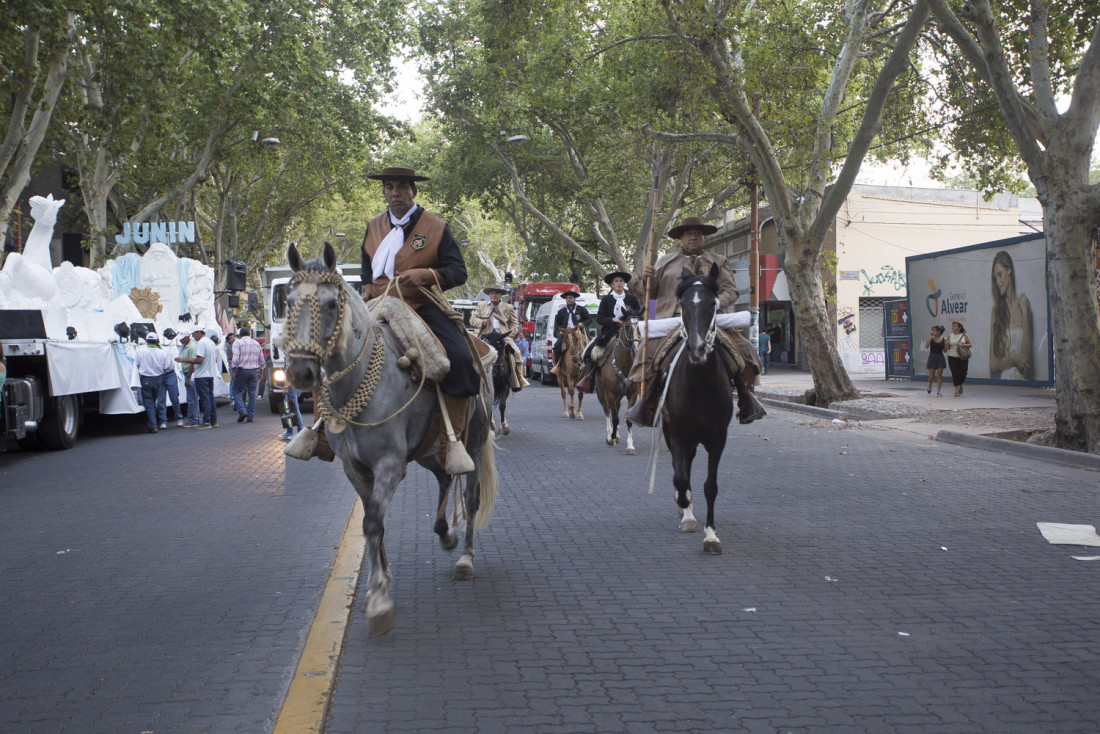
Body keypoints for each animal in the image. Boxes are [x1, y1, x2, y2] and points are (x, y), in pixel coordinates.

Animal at [281, 244, 497, 633]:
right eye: (288, 302)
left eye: (331, 304)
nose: (301, 372)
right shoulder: (355, 469)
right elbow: (373, 521)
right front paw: (378, 584)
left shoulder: (390, 465)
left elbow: (372, 522)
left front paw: (380, 597)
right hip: (431, 448)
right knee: (444, 477)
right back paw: (444, 533)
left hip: (472, 444)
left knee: (470, 498)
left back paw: (465, 559)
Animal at [598, 308, 642, 453]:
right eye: (627, 326)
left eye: (640, 327)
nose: (636, 348)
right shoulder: (610, 394)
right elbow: (615, 418)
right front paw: (611, 438)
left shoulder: (632, 394)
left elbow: (627, 420)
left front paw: (630, 446)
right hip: (602, 392)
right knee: (607, 411)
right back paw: (610, 435)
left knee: (615, 409)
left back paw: (616, 435)